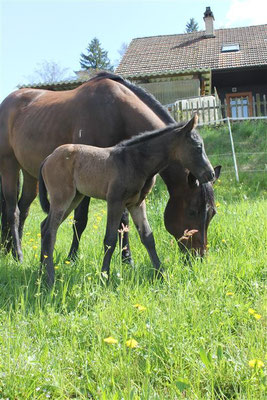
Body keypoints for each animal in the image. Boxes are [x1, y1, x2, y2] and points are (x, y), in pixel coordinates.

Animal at [0, 72, 222, 262]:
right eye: (192, 211)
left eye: (212, 214)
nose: (199, 256)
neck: (116, 111)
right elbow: (81, 220)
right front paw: (72, 257)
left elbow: (124, 221)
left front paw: (126, 260)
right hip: (9, 165)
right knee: (12, 210)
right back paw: (18, 254)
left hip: (30, 174)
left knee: (23, 208)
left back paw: (9, 249)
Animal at [39, 115, 216, 284]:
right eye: (198, 147)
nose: (211, 174)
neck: (134, 162)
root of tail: (47, 159)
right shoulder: (115, 201)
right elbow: (110, 240)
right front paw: (104, 278)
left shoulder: (136, 204)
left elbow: (147, 237)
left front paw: (161, 275)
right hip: (62, 198)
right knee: (50, 232)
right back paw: (50, 279)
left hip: (75, 197)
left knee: (44, 226)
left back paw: (41, 271)